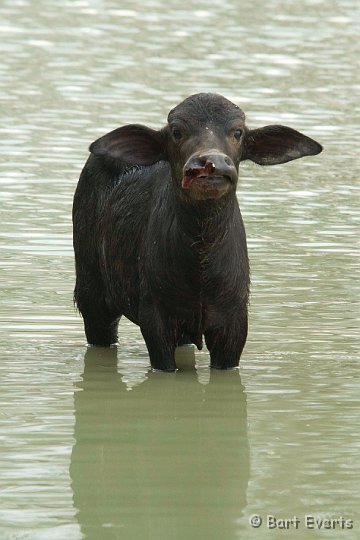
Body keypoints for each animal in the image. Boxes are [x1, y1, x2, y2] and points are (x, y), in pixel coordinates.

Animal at [72, 94, 320, 372]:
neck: (201, 262)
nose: (210, 163)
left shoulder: (234, 324)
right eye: (177, 132)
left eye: (238, 132)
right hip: (91, 295)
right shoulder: (156, 320)